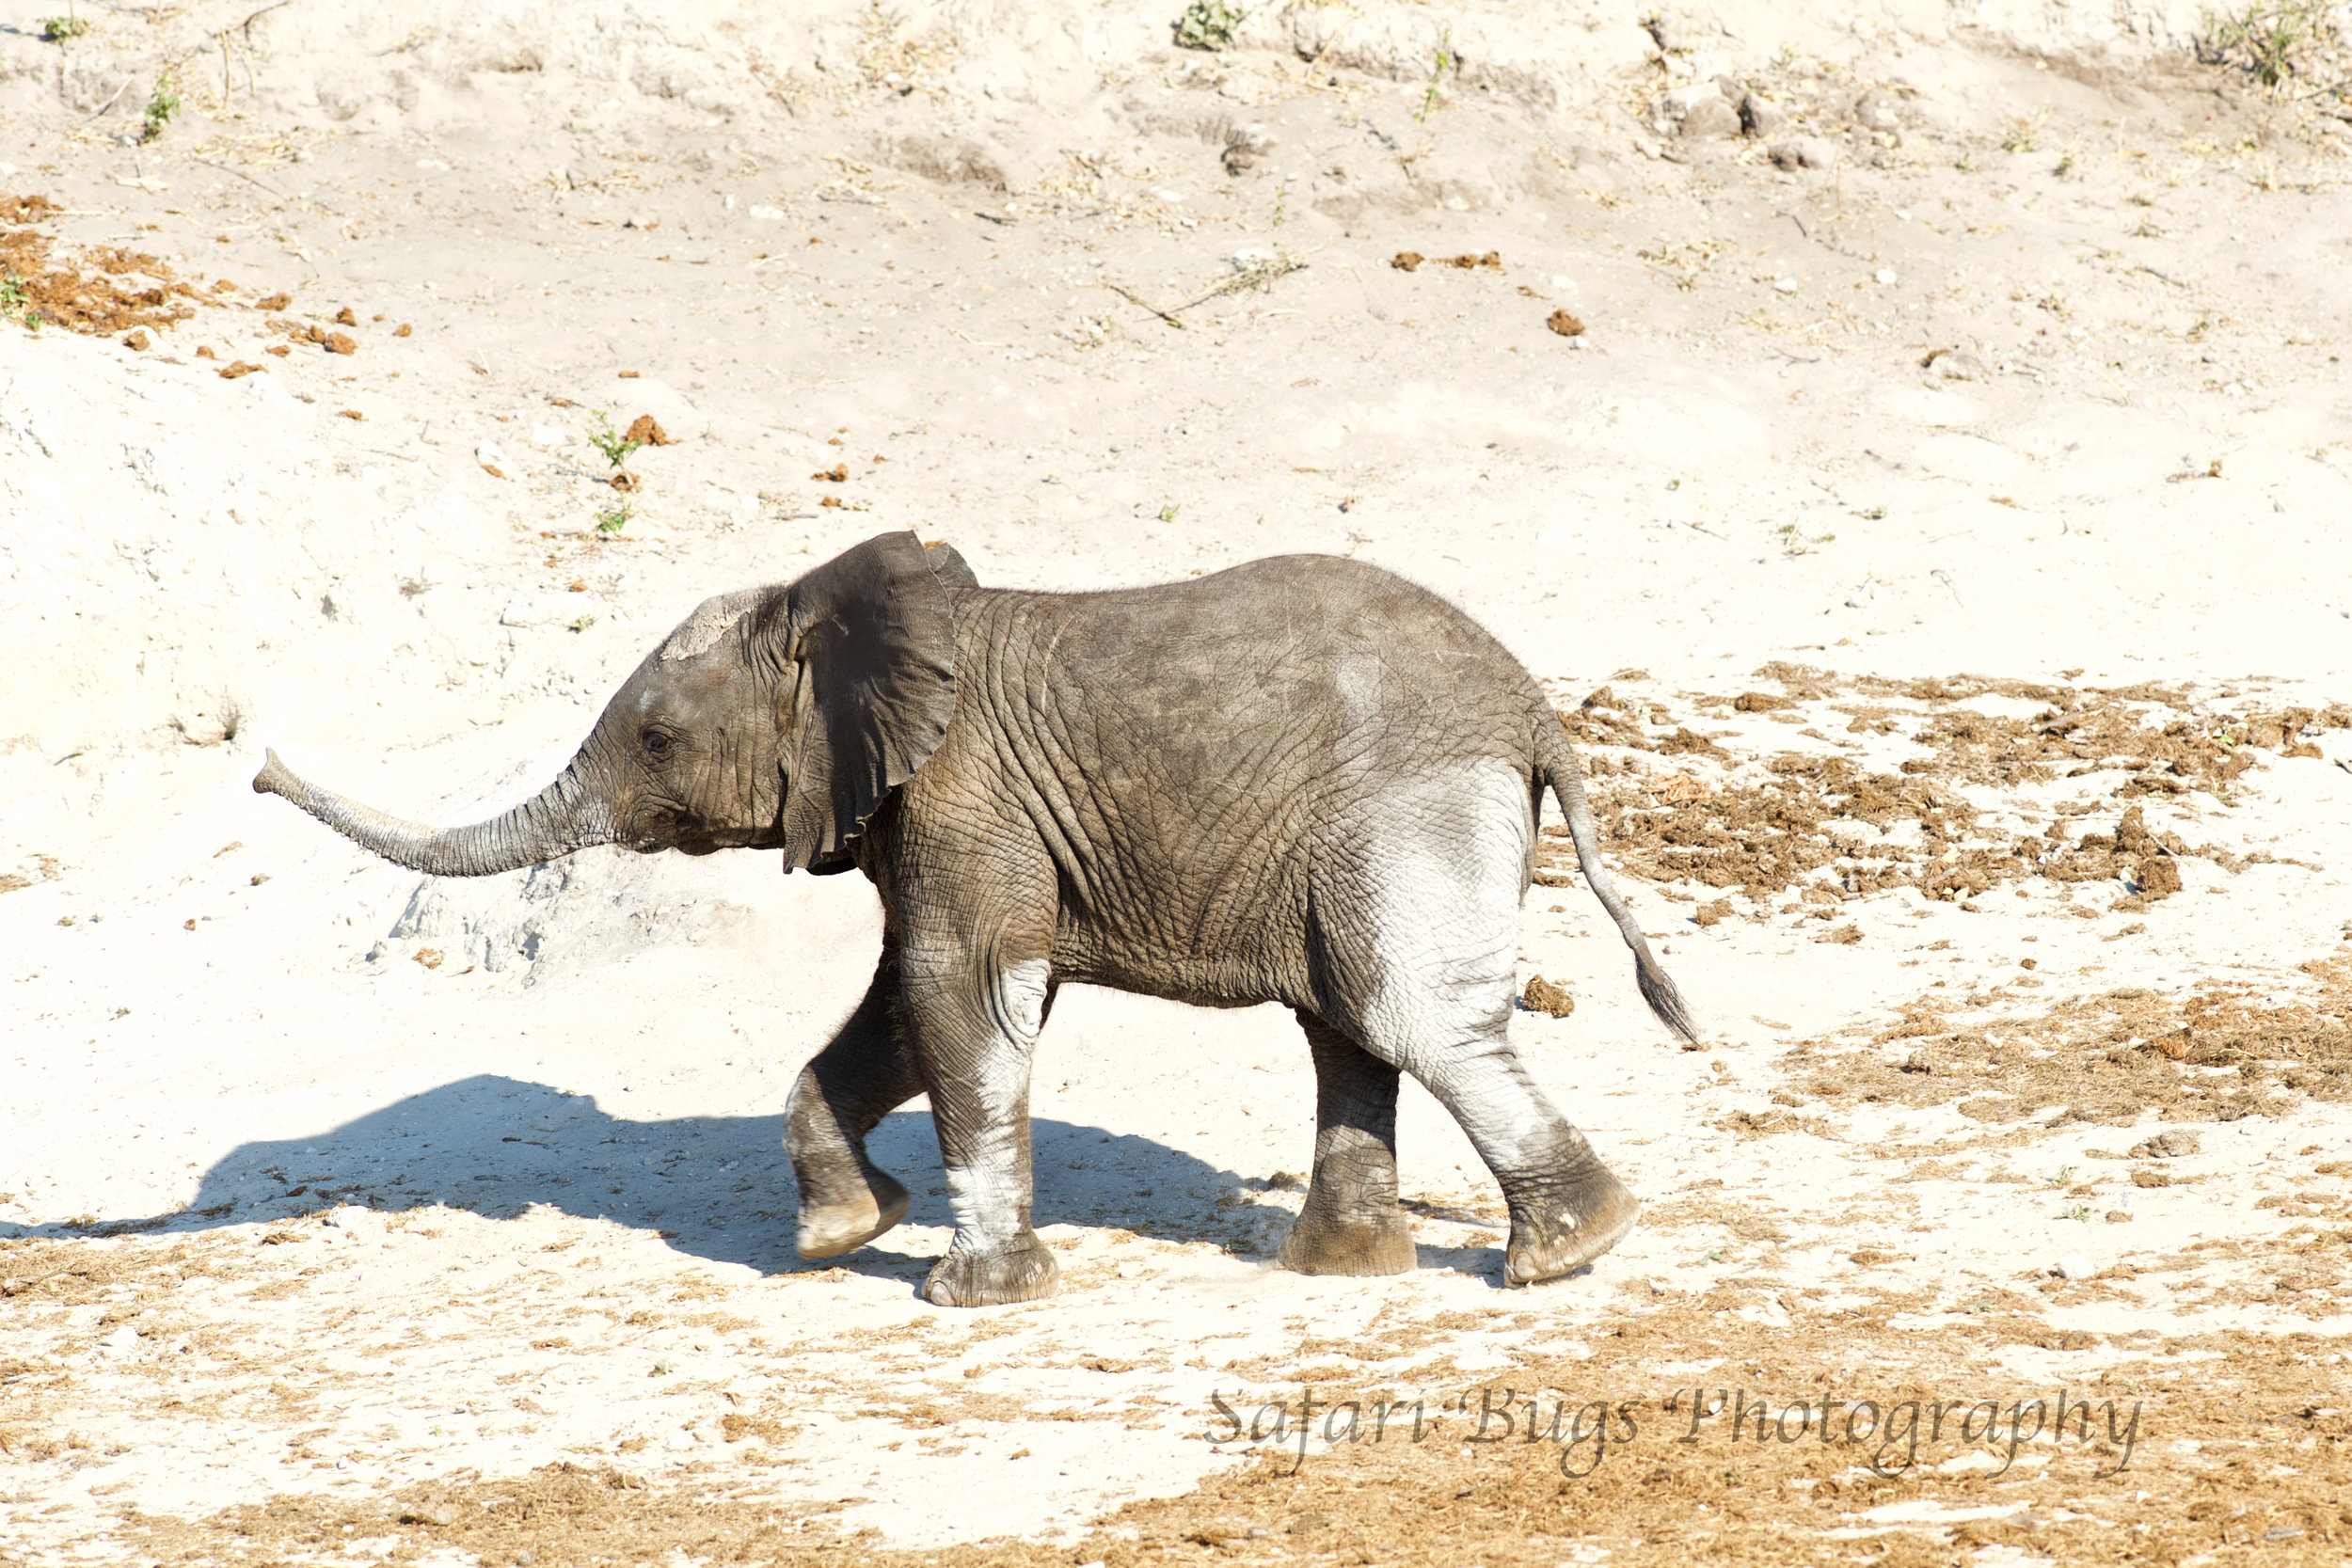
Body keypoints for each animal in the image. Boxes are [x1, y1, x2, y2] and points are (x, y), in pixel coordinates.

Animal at [252, 533, 1693, 1307]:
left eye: (656, 739)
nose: (256, 766)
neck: (837, 606)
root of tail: (1534, 711)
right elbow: (904, 1002)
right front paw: (842, 1232)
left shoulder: (961, 796)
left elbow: (964, 992)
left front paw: (969, 1293)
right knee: (1346, 1021)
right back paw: (1347, 1271)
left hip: (1402, 807)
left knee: (1407, 1016)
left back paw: (1568, 1255)